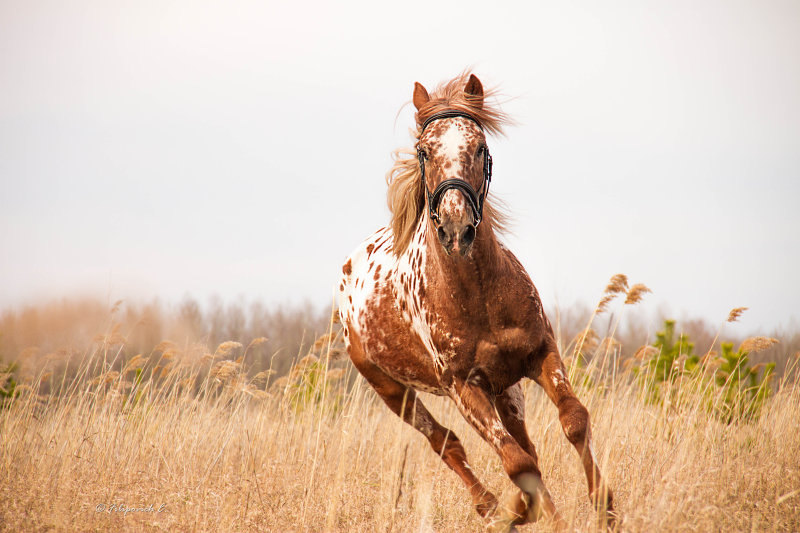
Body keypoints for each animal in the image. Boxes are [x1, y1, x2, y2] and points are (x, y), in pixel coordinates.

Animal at [334, 72, 616, 528]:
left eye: (480, 146)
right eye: (424, 150)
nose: (456, 227)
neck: (478, 296)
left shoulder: (541, 354)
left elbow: (572, 421)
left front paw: (605, 507)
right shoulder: (463, 388)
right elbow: (516, 463)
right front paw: (518, 510)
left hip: (507, 390)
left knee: (521, 443)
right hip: (393, 391)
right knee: (446, 442)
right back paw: (491, 506)